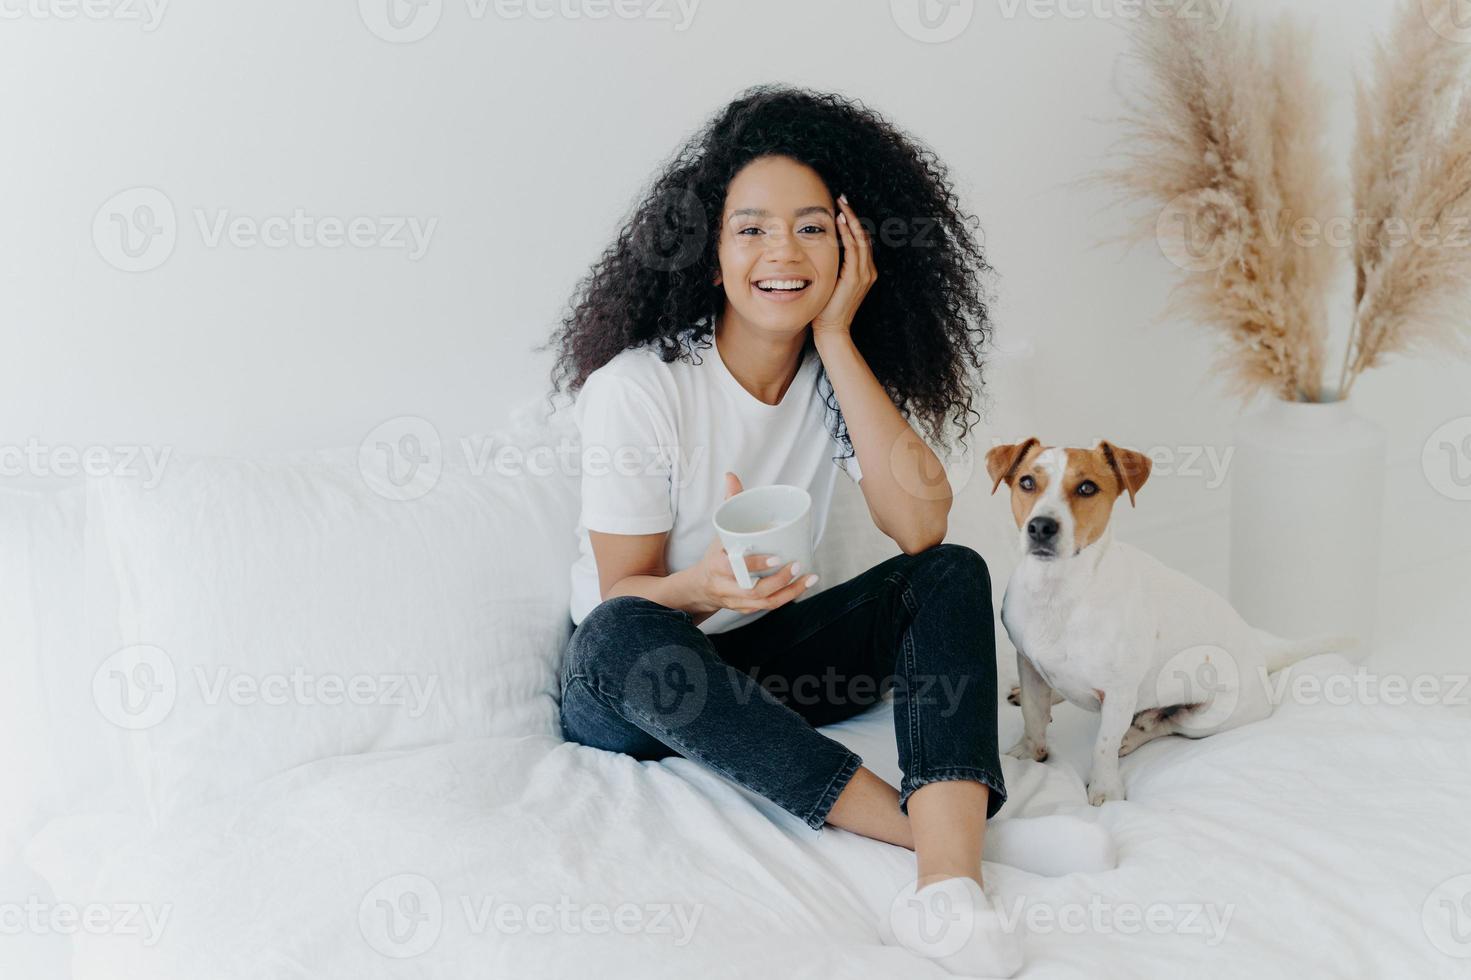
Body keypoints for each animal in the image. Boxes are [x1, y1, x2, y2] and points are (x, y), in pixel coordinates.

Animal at [988, 435, 1347, 800]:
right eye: (1027, 482)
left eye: (1087, 488)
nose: (1041, 526)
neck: (1058, 591)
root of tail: (1260, 652)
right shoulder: (1028, 665)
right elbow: (1033, 713)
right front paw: (1028, 752)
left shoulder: (1119, 695)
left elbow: (1104, 745)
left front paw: (1105, 789)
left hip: (1207, 719)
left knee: (1166, 724)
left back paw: (1135, 733)